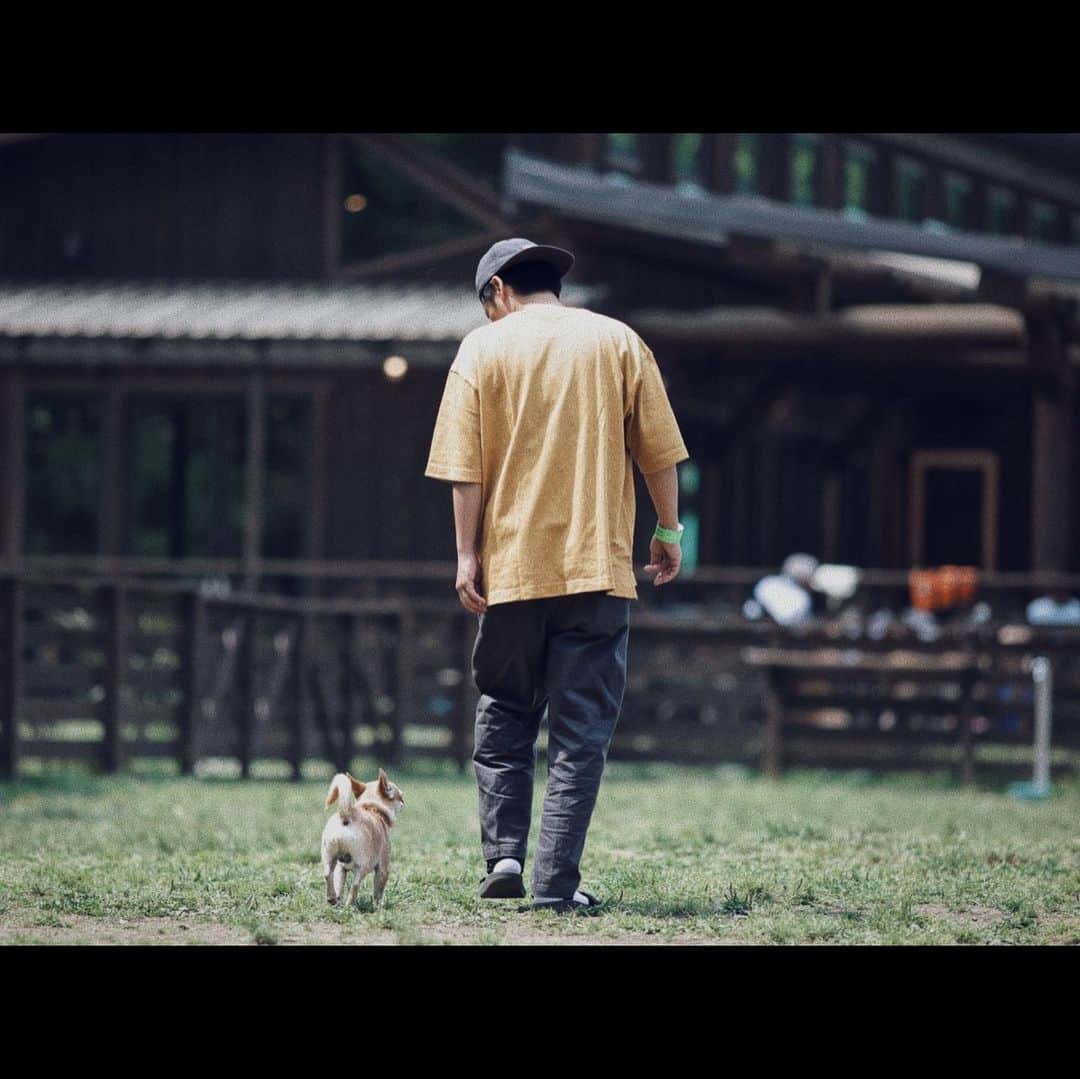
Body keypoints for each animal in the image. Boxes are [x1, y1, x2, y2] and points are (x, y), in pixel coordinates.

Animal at [321, 769, 406, 911]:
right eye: (400, 797)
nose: (404, 803)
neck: (372, 808)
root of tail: (346, 814)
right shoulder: (383, 868)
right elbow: (378, 892)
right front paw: (378, 907)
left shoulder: (341, 868)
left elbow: (339, 886)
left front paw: (337, 899)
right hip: (363, 866)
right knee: (355, 885)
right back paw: (350, 906)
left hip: (331, 859)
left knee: (328, 875)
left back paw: (333, 899)